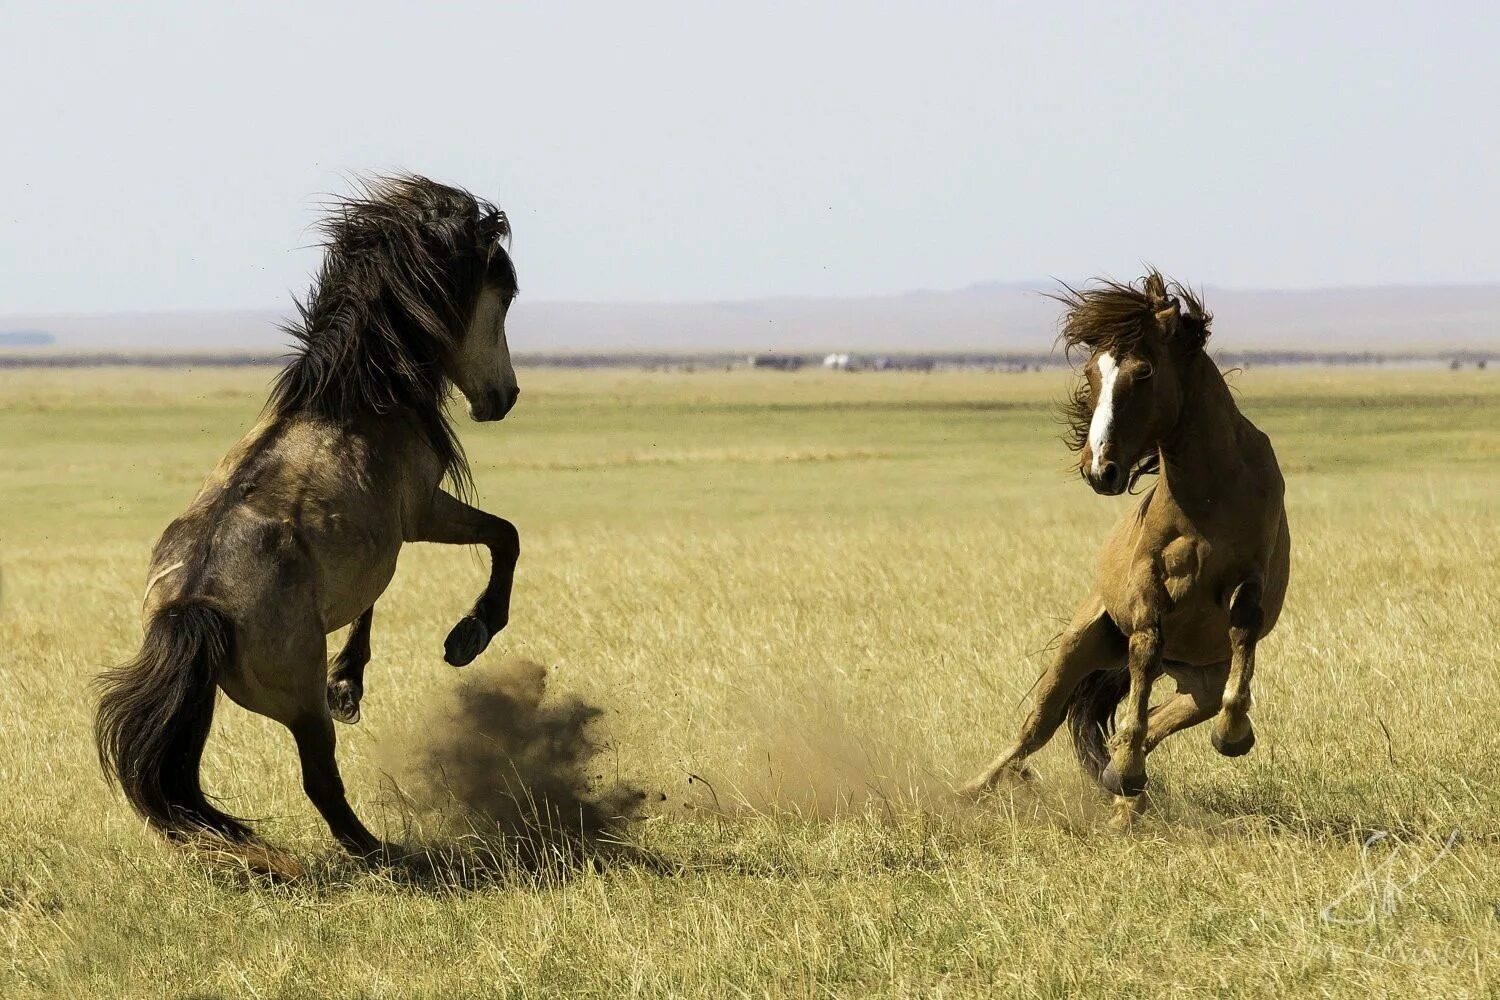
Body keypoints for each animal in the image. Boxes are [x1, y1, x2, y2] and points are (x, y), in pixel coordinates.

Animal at [96, 176, 525, 863]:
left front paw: (347, 682)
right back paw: (382, 853)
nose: (504, 397)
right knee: (321, 781)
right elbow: (505, 537)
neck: (355, 399)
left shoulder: (378, 541)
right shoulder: (423, 512)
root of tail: (193, 608)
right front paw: (469, 635)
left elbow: (372, 596)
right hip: (296, 708)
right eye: (503, 291)